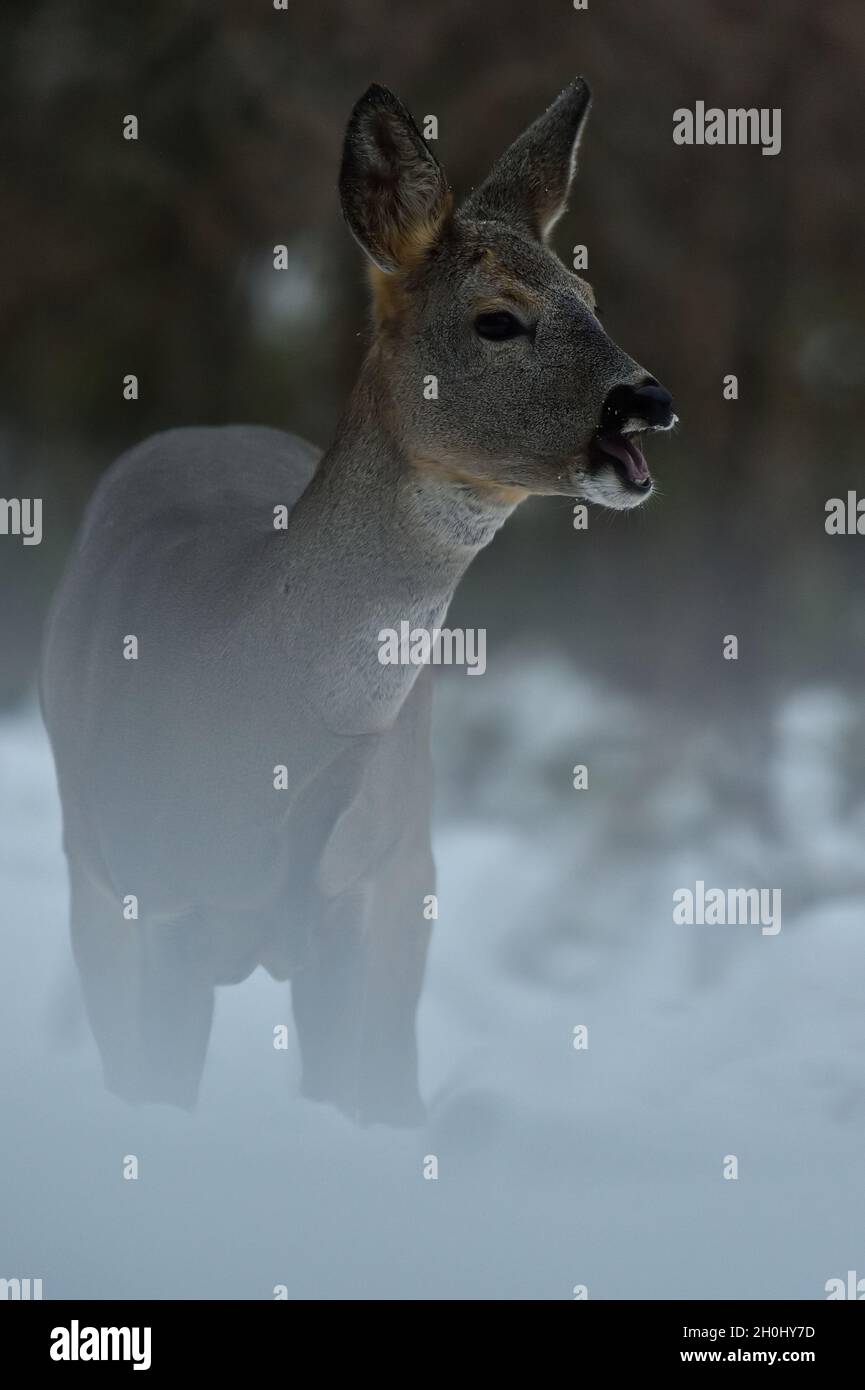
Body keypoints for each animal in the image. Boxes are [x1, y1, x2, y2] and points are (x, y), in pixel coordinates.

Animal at [40, 78, 675, 1127]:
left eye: (590, 298)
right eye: (496, 319)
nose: (647, 401)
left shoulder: (371, 900)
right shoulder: (143, 898)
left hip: (410, 856)